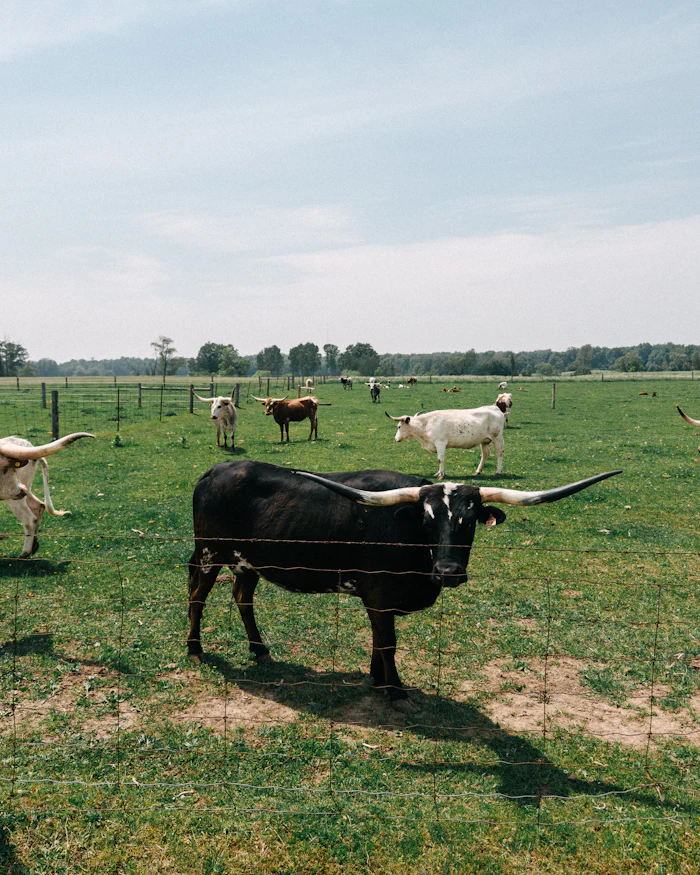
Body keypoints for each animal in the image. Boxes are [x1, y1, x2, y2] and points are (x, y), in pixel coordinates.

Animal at [187, 461, 621, 708]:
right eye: (427, 520)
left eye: (471, 521)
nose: (448, 570)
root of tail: (215, 469)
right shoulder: (378, 594)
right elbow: (388, 642)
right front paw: (395, 691)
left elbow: (380, 641)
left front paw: (377, 679)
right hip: (209, 551)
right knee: (197, 595)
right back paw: (194, 649)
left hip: (247, 561)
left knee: (242, 597)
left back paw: (260, 650)